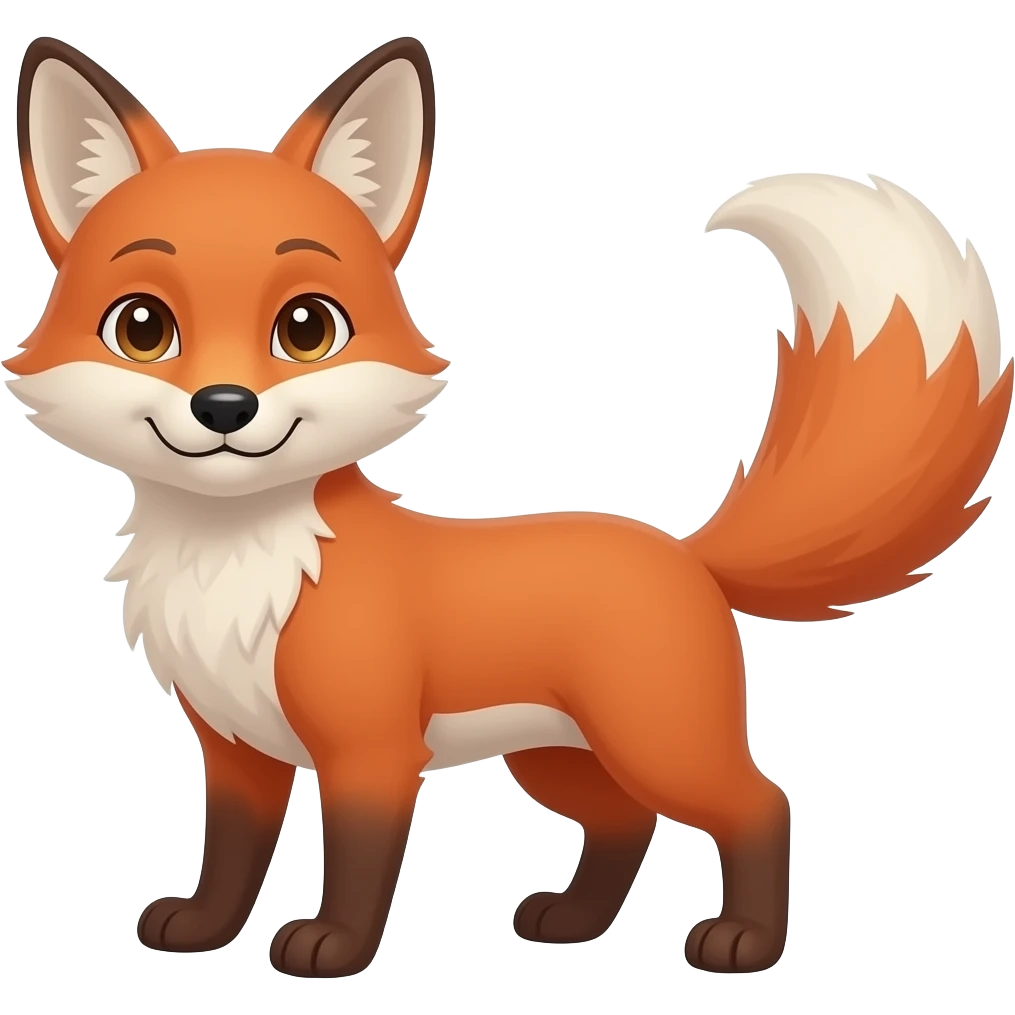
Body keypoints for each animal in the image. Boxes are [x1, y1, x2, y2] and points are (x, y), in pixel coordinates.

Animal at [7, 34, 1012, 980]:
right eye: (142, 327)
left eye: (306, 328)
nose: (224, 407)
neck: (238, 564)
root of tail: (686, 552)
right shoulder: (232, 748)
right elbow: (231, 857)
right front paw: (204, 930)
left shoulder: (372, 751)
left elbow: (358, 864)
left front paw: (334, 946)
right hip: (558, 757)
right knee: (625, 823)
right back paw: (573, 922)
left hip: (657, 740)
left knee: (760, 804)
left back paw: (745, 941)